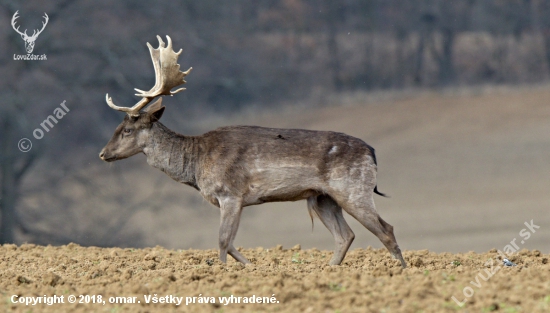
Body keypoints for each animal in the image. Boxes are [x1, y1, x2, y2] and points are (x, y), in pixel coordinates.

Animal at [100, 35, 410, 266]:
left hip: (353, 188)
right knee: (345, 236)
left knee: (386, 229)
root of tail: (372, 152)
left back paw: (402, 271)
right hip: (323, 197)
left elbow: (223, 241)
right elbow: (231, 243)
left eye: (127, 130)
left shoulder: (230, 193)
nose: (103, 154)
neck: (197, 163)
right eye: (118, 126)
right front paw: (250, 267)